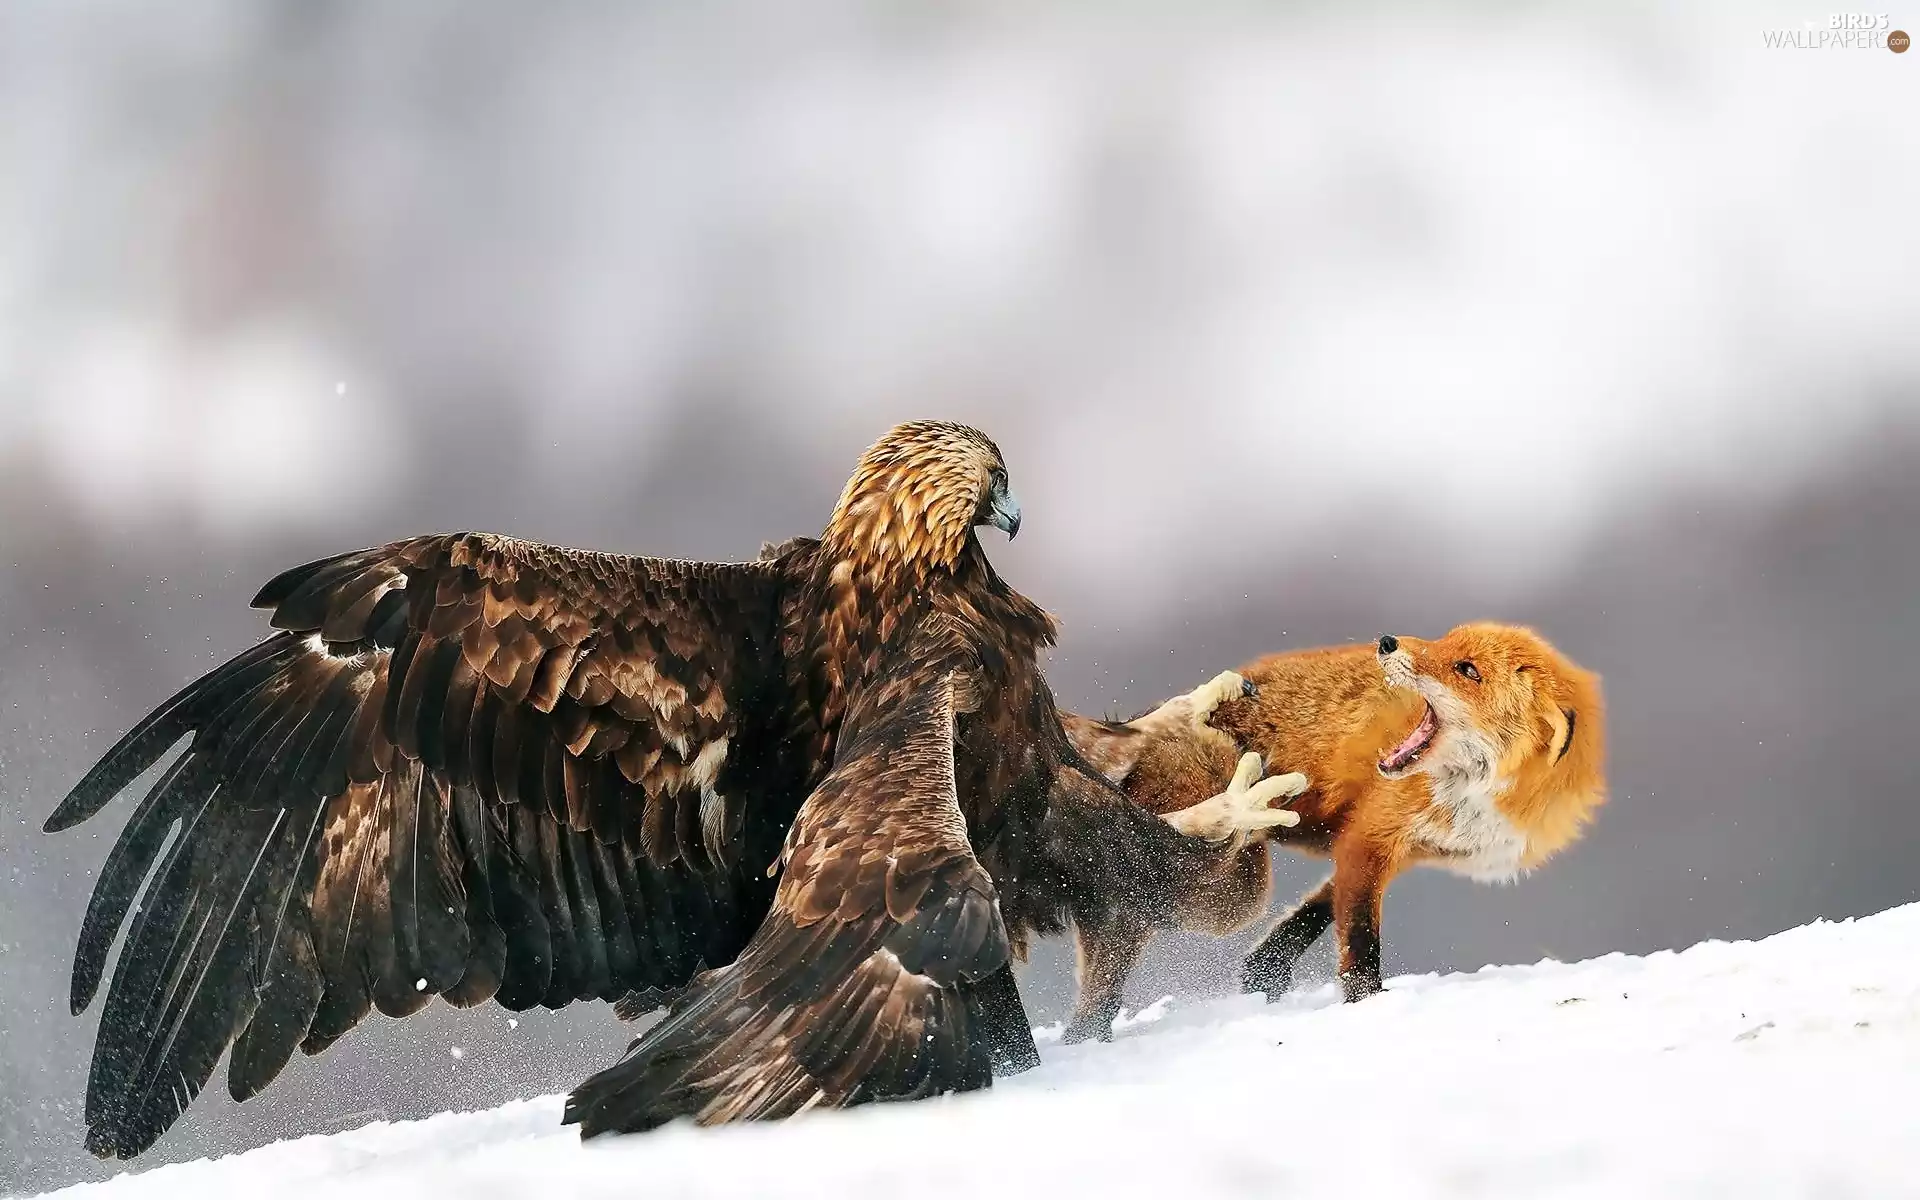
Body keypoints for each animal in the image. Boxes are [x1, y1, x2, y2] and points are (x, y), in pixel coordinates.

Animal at [1058, 623, 1605, 1043]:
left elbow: (1309, 917)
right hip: (1236, 889)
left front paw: (1264, 973)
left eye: (1467, 669)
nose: (1386, 641)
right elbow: (1360, 943)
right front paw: (1365, 1007)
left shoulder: (1386, 846)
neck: (1479, 798)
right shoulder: (1372, 838)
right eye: (1443, 641)